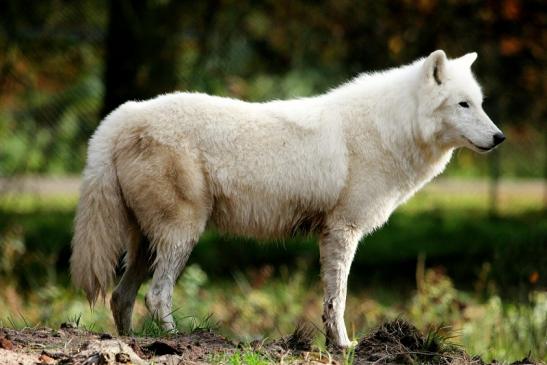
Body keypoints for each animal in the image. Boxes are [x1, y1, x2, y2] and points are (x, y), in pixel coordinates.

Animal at [71, 49, 506, 346]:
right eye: (463, 104)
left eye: (481, 104)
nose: (500, 137)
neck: (388, 129)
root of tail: (120, 116)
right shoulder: (343, 231)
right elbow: (338, 299)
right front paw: (343, 345)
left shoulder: (330, 234)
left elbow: (330, 299)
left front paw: (333, 345)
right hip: (181, 236)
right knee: (156, 296)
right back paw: (175, 340)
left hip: (146, 244)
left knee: (120, 297)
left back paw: (130, 342)